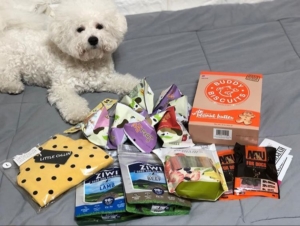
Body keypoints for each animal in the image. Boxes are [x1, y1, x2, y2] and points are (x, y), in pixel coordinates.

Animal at [0, 0, 140, 123]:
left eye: (100, 26)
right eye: (80, 29)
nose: (93, 39)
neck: (88, 62)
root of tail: (4, 33)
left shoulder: (105, 79)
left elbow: (122, 81)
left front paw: (136, 84)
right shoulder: (62, 87)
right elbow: (71, 101)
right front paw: (77, 113)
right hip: (9, 62)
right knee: (6, 77)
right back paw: (13, 86)